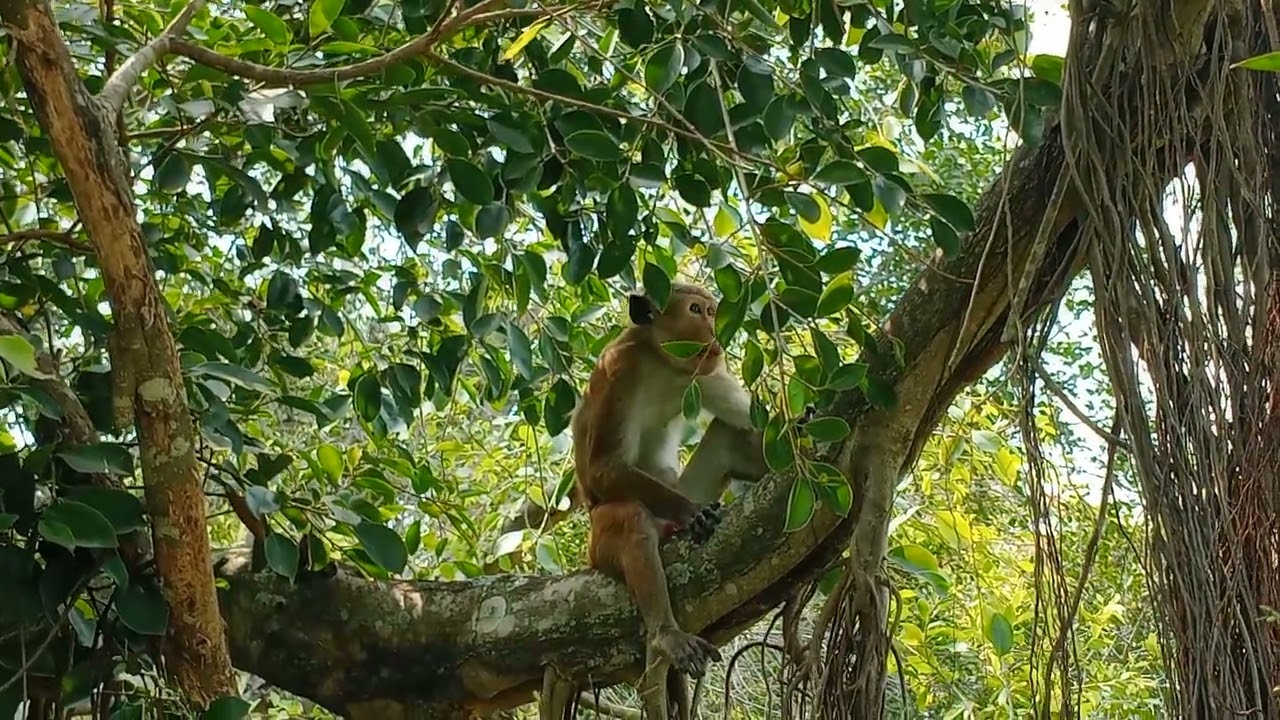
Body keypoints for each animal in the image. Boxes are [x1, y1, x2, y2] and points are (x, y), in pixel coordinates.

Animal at [541, 282, 772, 720]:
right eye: (696, 310)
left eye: (713, 310)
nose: (715, 329)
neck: (664, 362)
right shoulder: (620, 368)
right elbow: (603, 467)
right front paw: (691, 512)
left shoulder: (708, 371)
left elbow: (747, 423)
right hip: (600, 543)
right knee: (631, 518)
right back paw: (665, 636)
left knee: (727, 436)